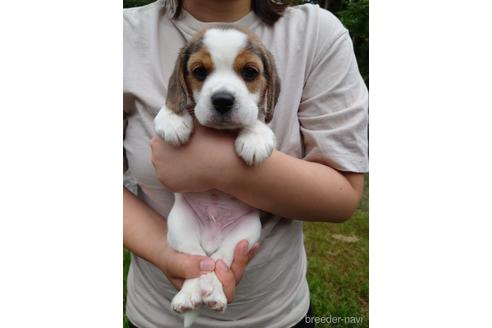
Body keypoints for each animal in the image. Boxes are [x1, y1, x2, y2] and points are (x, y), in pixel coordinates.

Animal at [154, 25, 278, 326]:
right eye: (199, 71)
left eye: (250, 73)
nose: (222, 100)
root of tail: (211, 241)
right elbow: (170, 107)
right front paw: (174, 120)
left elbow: (257, 119)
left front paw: (255, 138)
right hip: (180, 226)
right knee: (199, 263)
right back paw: (190, 294)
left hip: (246, 233)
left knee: (219, 261)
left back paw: (213, 291)